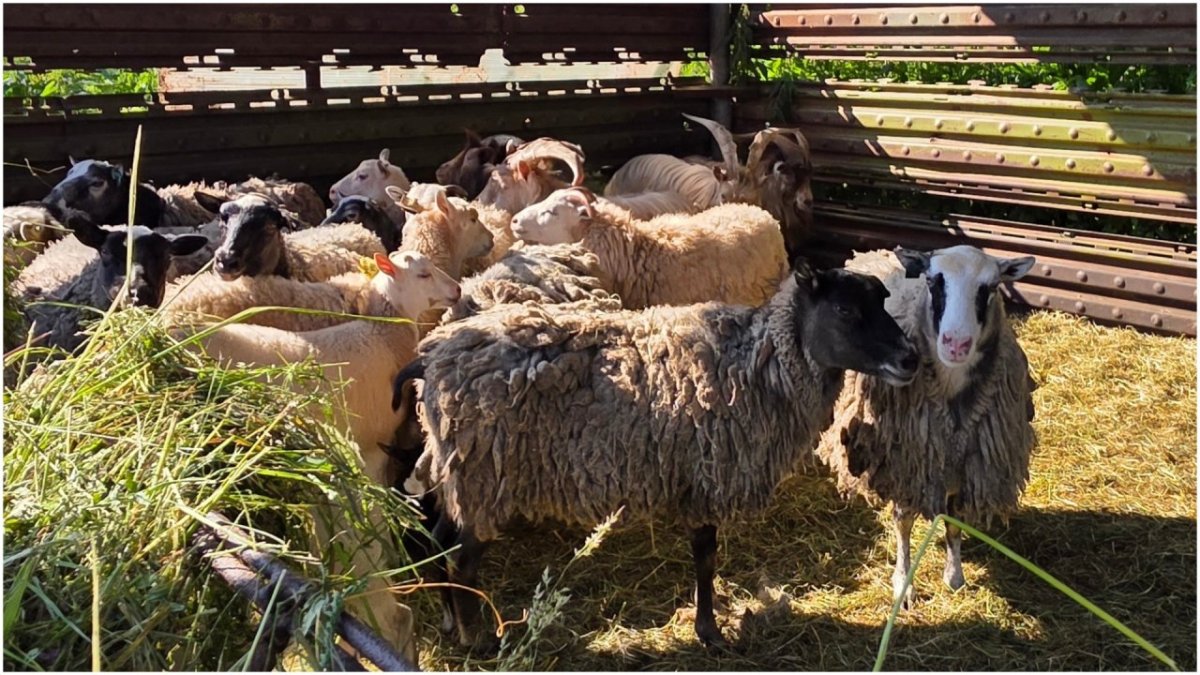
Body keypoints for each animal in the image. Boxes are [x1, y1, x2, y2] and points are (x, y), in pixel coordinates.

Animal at [393, 264, 919, 648]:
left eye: (882, 301)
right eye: (846, 309)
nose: (910, 359)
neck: (757, 366)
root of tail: (430, 358)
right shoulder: (705, 473)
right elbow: (706, 555)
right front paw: (709, 632)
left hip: (459, 474)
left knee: (437, 539)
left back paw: (449, 622)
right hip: (485, 475)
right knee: (460, 557)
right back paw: (476, 638)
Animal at [815, 245, 1038, 609]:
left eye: (990, 288)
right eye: (934, 281)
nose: (956, 344)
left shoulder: (966, 465)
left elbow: (955, 521)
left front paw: (954, 576)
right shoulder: (905, 461)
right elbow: (903, 521)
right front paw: (903, 585)